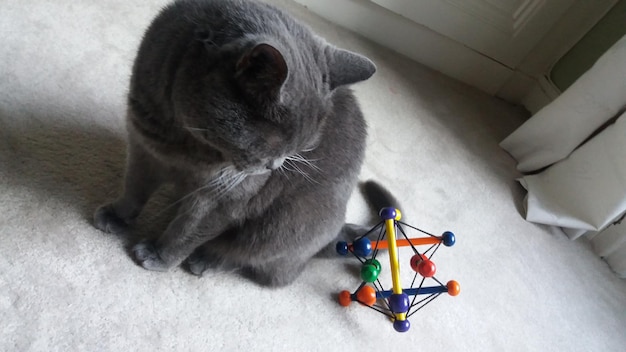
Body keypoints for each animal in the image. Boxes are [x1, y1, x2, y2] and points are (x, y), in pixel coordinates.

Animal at [92, 0, 376, 286]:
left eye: (299, 149)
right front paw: (116, 216)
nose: (274, 167)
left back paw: (204, 261)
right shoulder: (144, 147)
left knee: (256, 263)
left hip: (283, 226)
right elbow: (134, 188)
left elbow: (187, 231)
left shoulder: (226, 195)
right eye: (273, 144)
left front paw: (158, 256)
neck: (184, 143)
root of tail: (336, 233)